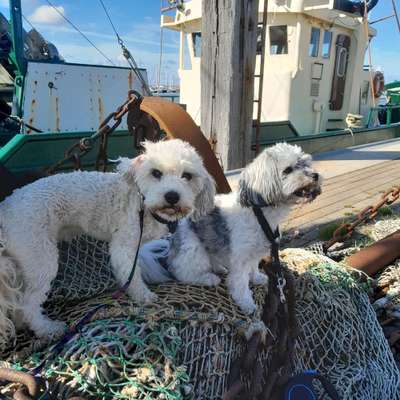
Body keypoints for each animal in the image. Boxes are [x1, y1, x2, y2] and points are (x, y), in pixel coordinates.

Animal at [0, 139, 216, 346]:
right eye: (156, 173)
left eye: (187, 176)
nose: (172, 196)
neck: (143, 204)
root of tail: (6, 206)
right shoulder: (124, 246)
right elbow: (131, 275)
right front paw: (143, 296)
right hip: (40, 257)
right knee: (28, 304)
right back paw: (47, 328)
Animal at [147, 142, 322, 314]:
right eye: (288, 170)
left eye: (307, 164)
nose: (315, 175)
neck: (259, 212)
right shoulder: (241, 257)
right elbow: (240, 282)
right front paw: (246, 303)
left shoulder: (255, 251)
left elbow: (253, 267)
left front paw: (257, 278)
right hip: (193, 250)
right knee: (181, 271)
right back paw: (207, 278)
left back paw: (219, 268)